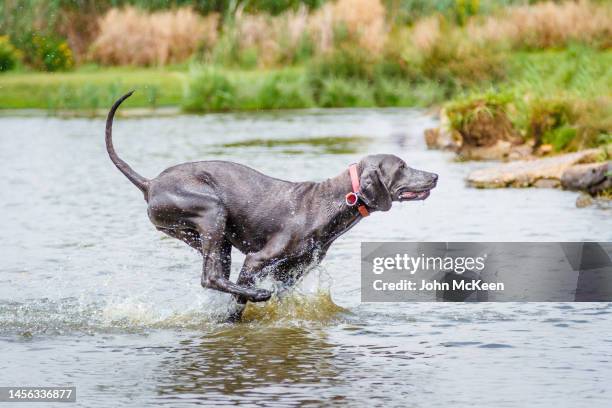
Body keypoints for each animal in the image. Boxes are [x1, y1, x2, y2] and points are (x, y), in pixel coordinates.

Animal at [106, 91, 440, 320]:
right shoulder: (257, 260)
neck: (328, 203)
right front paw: (235, 317)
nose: (435, 176)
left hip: (213, 238)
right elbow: (238, 302)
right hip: (211, 211)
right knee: (211, 277)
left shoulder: (289, 276)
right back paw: (256, 294)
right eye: (402, 167)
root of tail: (150, 183)